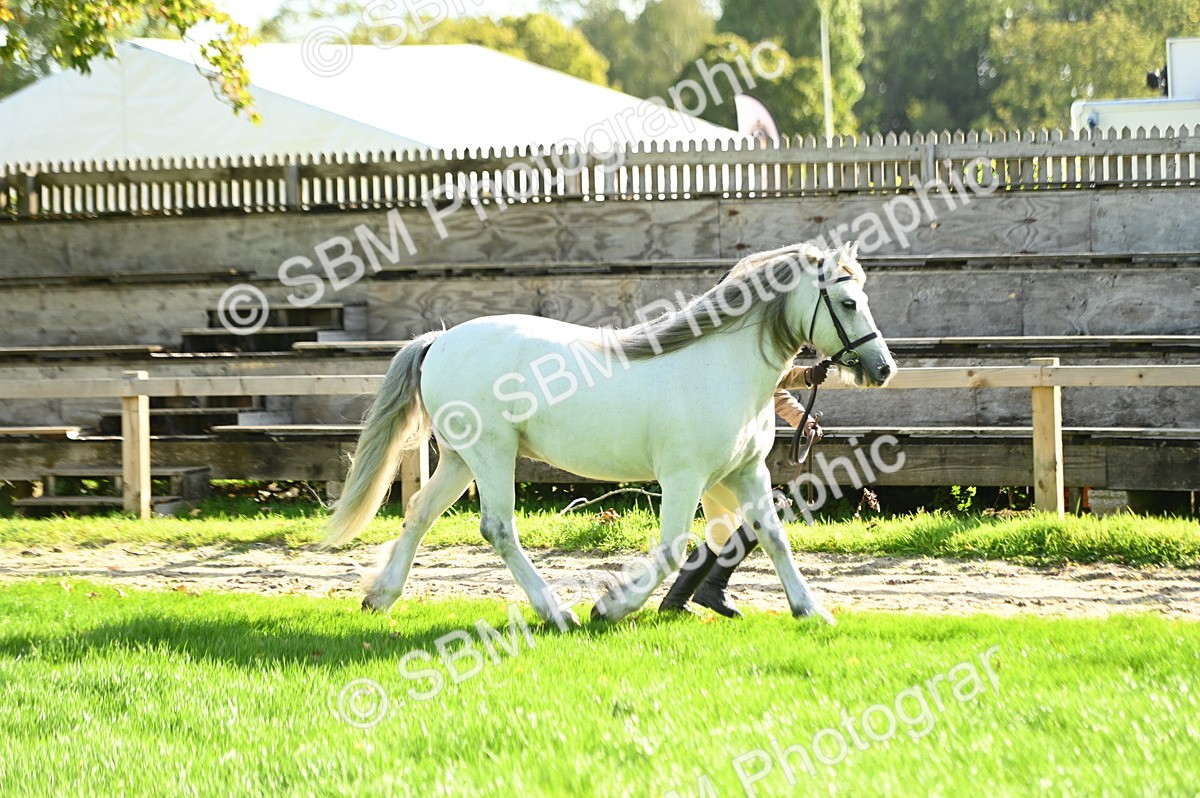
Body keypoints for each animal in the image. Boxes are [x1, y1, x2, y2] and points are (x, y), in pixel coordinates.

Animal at [323, 241, 896, 628]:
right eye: (848, 303)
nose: (884, 368)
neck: (722, 367)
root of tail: (438, 341)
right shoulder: (684, 477)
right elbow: (673, 548)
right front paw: (611, 606)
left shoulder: (746, 472)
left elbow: (773, 536)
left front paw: (811, 610)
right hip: (491, 454)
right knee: (498, 528)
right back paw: (558, 613)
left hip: (463, 458)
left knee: (420, 513)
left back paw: (380, 597)